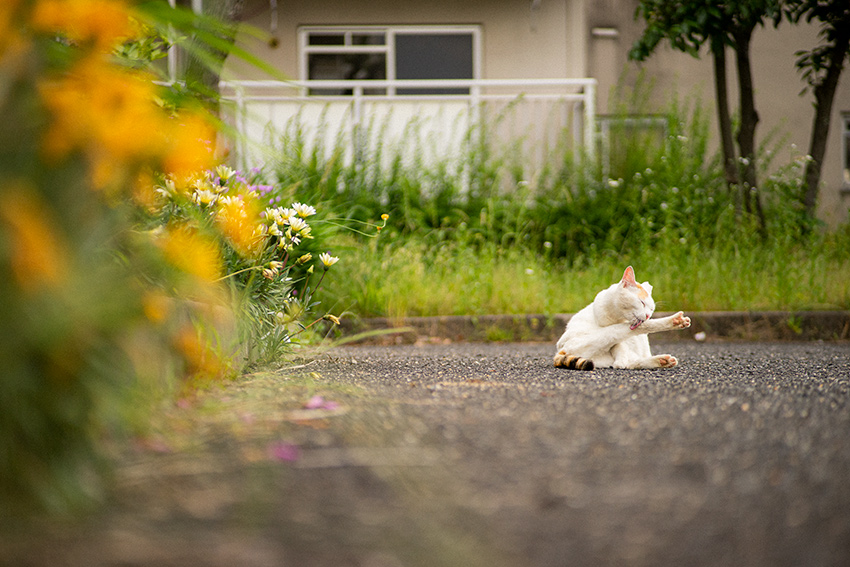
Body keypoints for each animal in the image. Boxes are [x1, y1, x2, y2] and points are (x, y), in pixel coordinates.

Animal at [556, 268, 688, 370]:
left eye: (652, 309)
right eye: (642, 302)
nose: (647, 316)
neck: (619, 316)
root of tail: (559, 351)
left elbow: (622, 347)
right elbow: (620, 344)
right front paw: (620, 361)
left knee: (632, 360)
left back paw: (661, 361)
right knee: (630, 332)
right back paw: (675, 321)